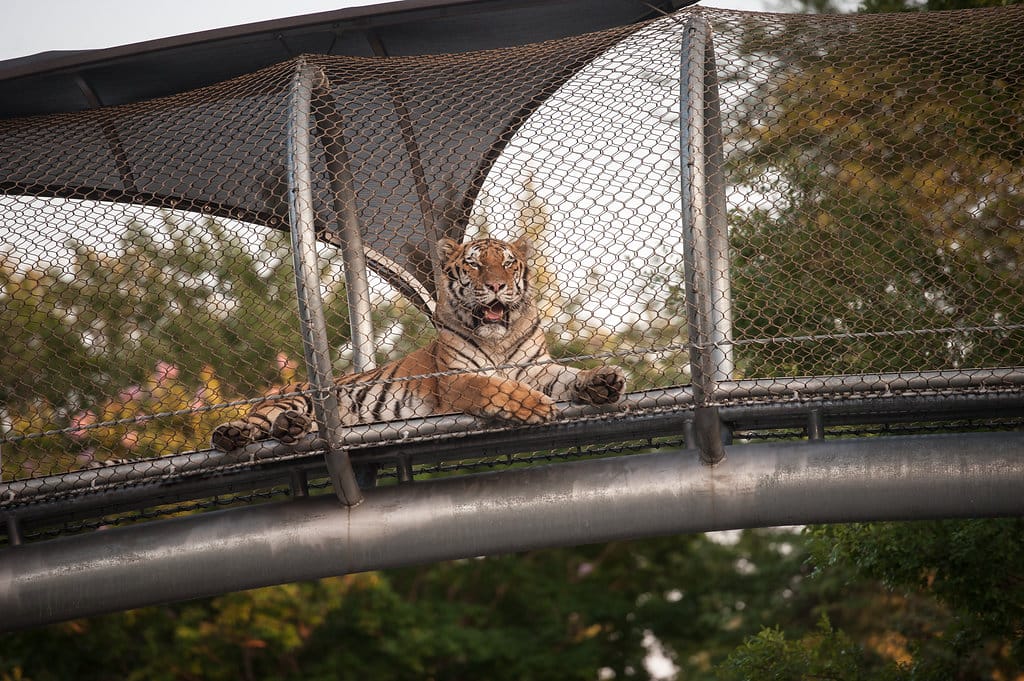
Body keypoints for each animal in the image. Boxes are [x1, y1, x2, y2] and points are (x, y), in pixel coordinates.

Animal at [207, 233, 622, 450]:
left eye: (507, 263)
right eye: (474, 264)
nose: (495, 285)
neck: (498, 342)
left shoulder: (537, 370)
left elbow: (568, 377)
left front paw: (602, 380)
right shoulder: (453, 380)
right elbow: (489, 386)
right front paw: (530, 405)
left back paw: (292, 428)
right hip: (291, 398)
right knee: (253, 424)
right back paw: (235, 433)